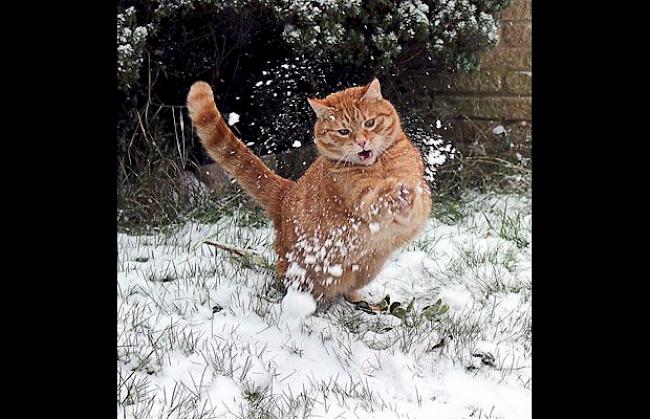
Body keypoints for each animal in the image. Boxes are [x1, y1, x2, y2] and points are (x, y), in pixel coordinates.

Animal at [187, 79, 430, 304]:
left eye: (369, 123)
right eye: (344, 131)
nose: (362, 142)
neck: (378, 166)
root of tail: (286, 191)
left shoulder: (416, 185)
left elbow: (413, 195)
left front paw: (403, 194)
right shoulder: (360, 198)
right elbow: (377, 198)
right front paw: (393, 193)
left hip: (368, 267)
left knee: (348, 287)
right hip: (306, 271)